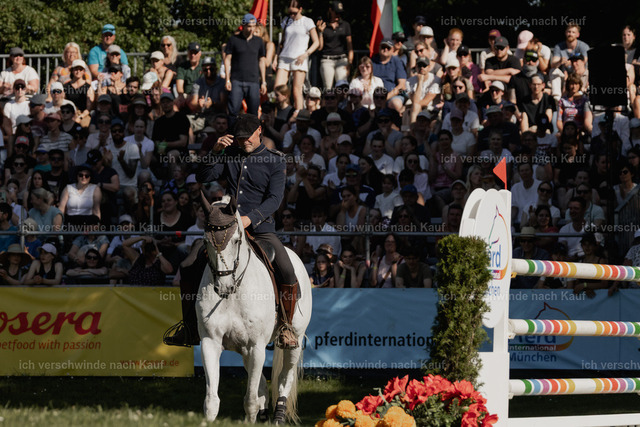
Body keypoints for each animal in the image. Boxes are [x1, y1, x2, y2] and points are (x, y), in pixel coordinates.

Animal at [197, 195, 312, 423]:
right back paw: (264, 412)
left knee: (284, 378)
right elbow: (212, 400)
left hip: (294, 340)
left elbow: (250, 399)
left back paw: (278, 416)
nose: (223, 287)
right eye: (206, 241)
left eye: (236, 240)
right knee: (259, 383)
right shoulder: (210, 342)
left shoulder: (256, 345)